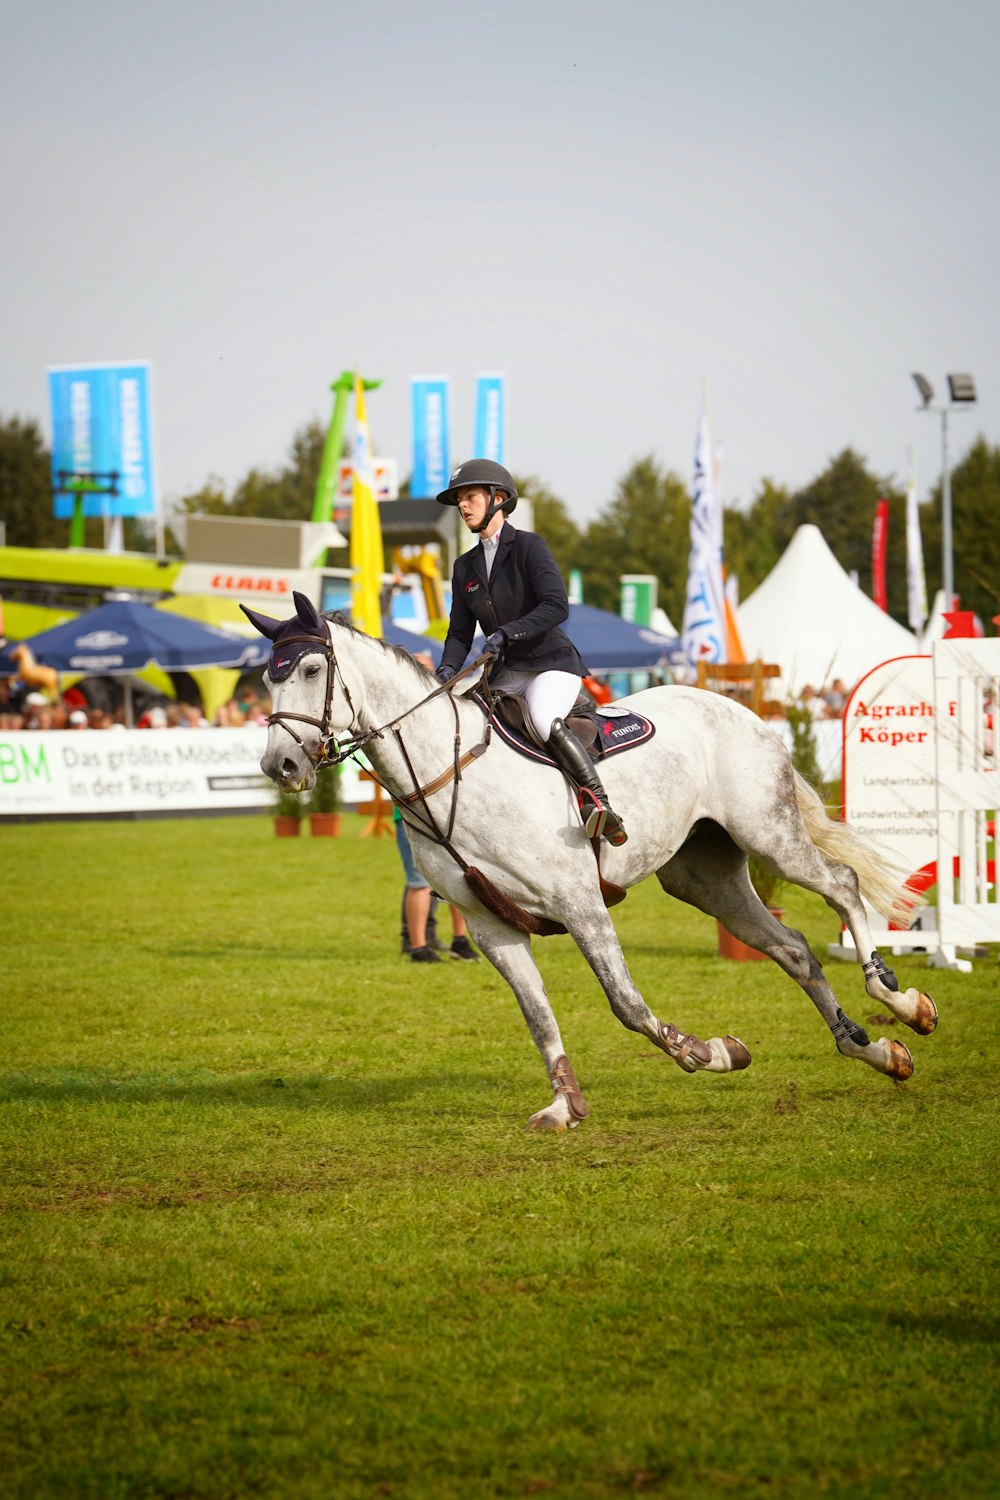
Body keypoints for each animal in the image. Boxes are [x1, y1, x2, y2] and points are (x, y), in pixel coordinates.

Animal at [245, 591, 935, 1128]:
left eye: (311, 669)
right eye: (267, 680)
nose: (281, 767)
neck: (445, 775)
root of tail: (741, 709)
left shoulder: (579, 903)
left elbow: (625, 1003)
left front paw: (708, 1052)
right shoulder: (493, 927)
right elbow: (538, 1016)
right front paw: (565, 1106)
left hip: (770, 835)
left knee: (841, 884)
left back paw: (899, 999)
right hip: (702, 878)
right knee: (792, 948)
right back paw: (876, 1051)